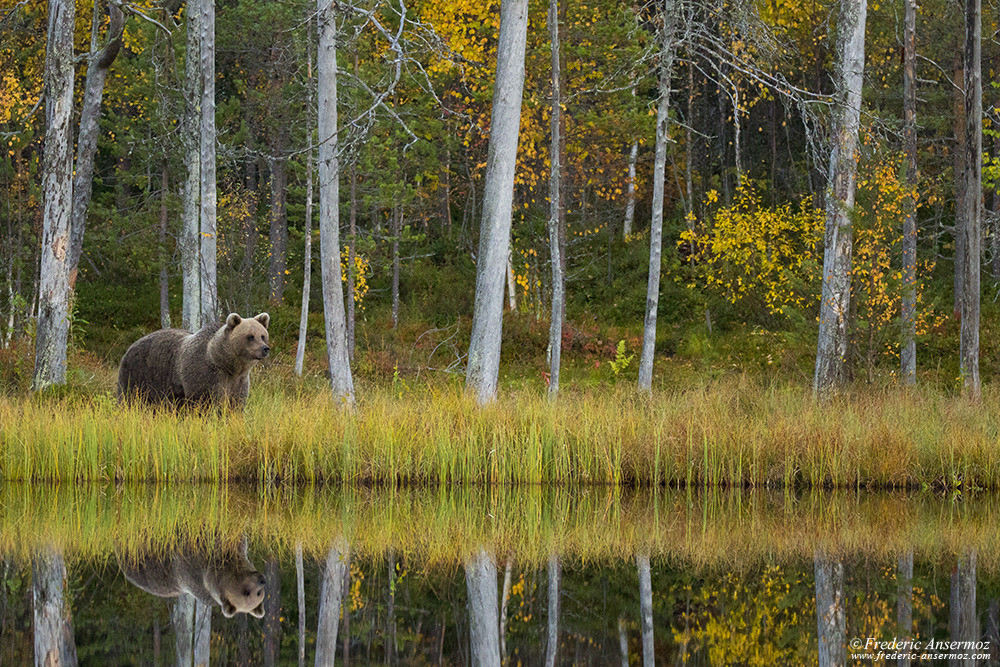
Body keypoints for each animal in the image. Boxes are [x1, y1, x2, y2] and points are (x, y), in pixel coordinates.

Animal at [117, 316, 270, 410]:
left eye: (263, 336)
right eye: (250, 336)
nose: (265, 349)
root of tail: (131, 346)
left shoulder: (238, 380)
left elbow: (237, 403)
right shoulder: (206, 375)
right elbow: (206, 403)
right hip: (138, 374)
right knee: (128, 399)